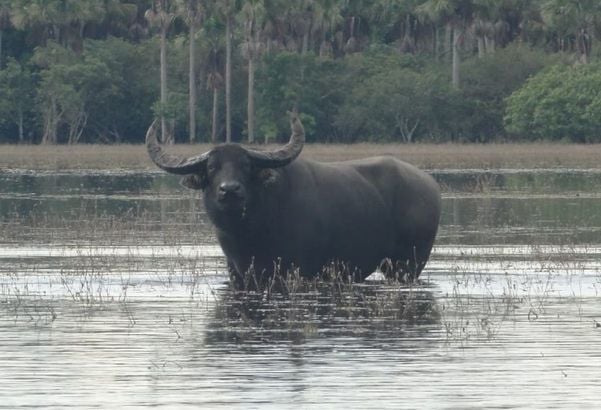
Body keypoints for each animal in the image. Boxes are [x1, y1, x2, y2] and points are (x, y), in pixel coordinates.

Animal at [146, 112, 440, 286]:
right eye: (211, 168)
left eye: (246, 166)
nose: (229, 190)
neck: (250, 233)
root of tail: (429, 184)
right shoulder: (238, 272)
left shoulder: (298, 270)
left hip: (409, 264)